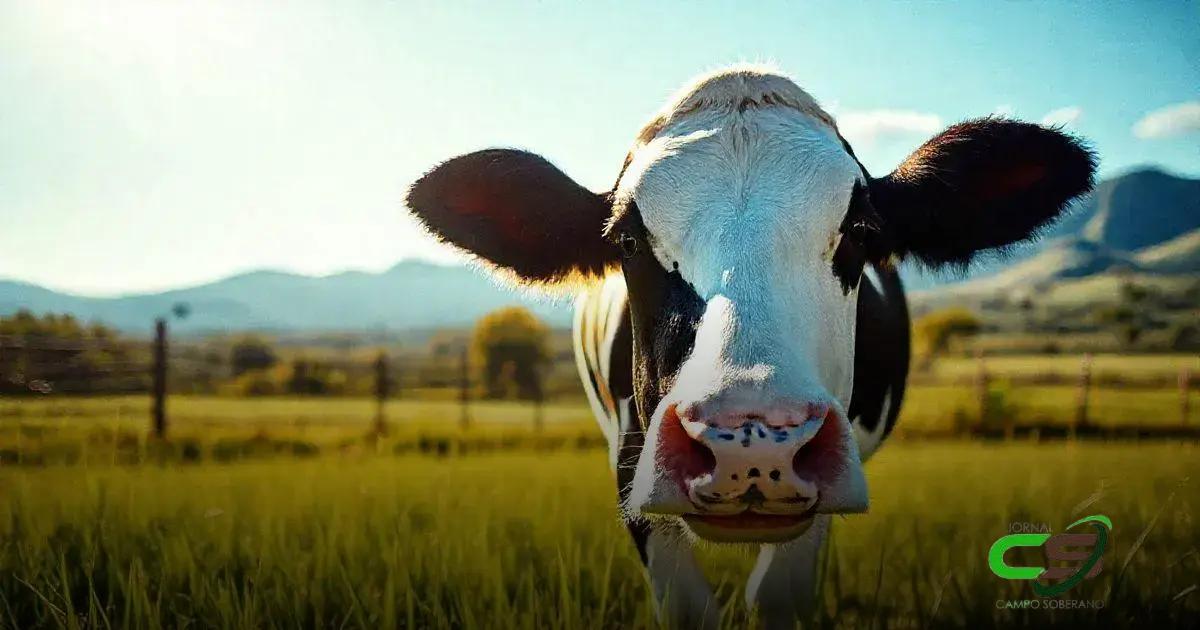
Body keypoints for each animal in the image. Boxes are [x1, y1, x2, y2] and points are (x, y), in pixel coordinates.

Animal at [405, 65, 1096, 628]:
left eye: (860, 230)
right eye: (627, 241)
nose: (751, 443)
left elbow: (776, 597)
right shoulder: (631, 470)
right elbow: (687, 606)